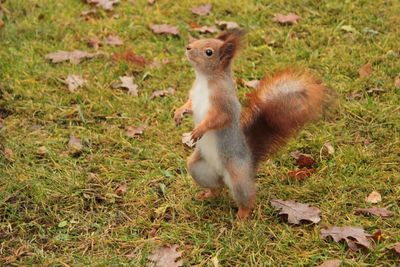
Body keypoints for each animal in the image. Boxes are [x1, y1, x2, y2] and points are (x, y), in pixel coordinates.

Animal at [175, 29, 328, 220]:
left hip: (238, 176)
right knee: (217, 187)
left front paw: (198, 130)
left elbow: (218, 119)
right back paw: (207, 195)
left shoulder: (224, 104)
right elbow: (188, 106)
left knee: (246, 197)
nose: (188, 47)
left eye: (208, 52)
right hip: (198, 168)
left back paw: (242, 216)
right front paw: (178, 112)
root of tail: (249, 160)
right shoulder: (194, 98)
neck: (205, 80)